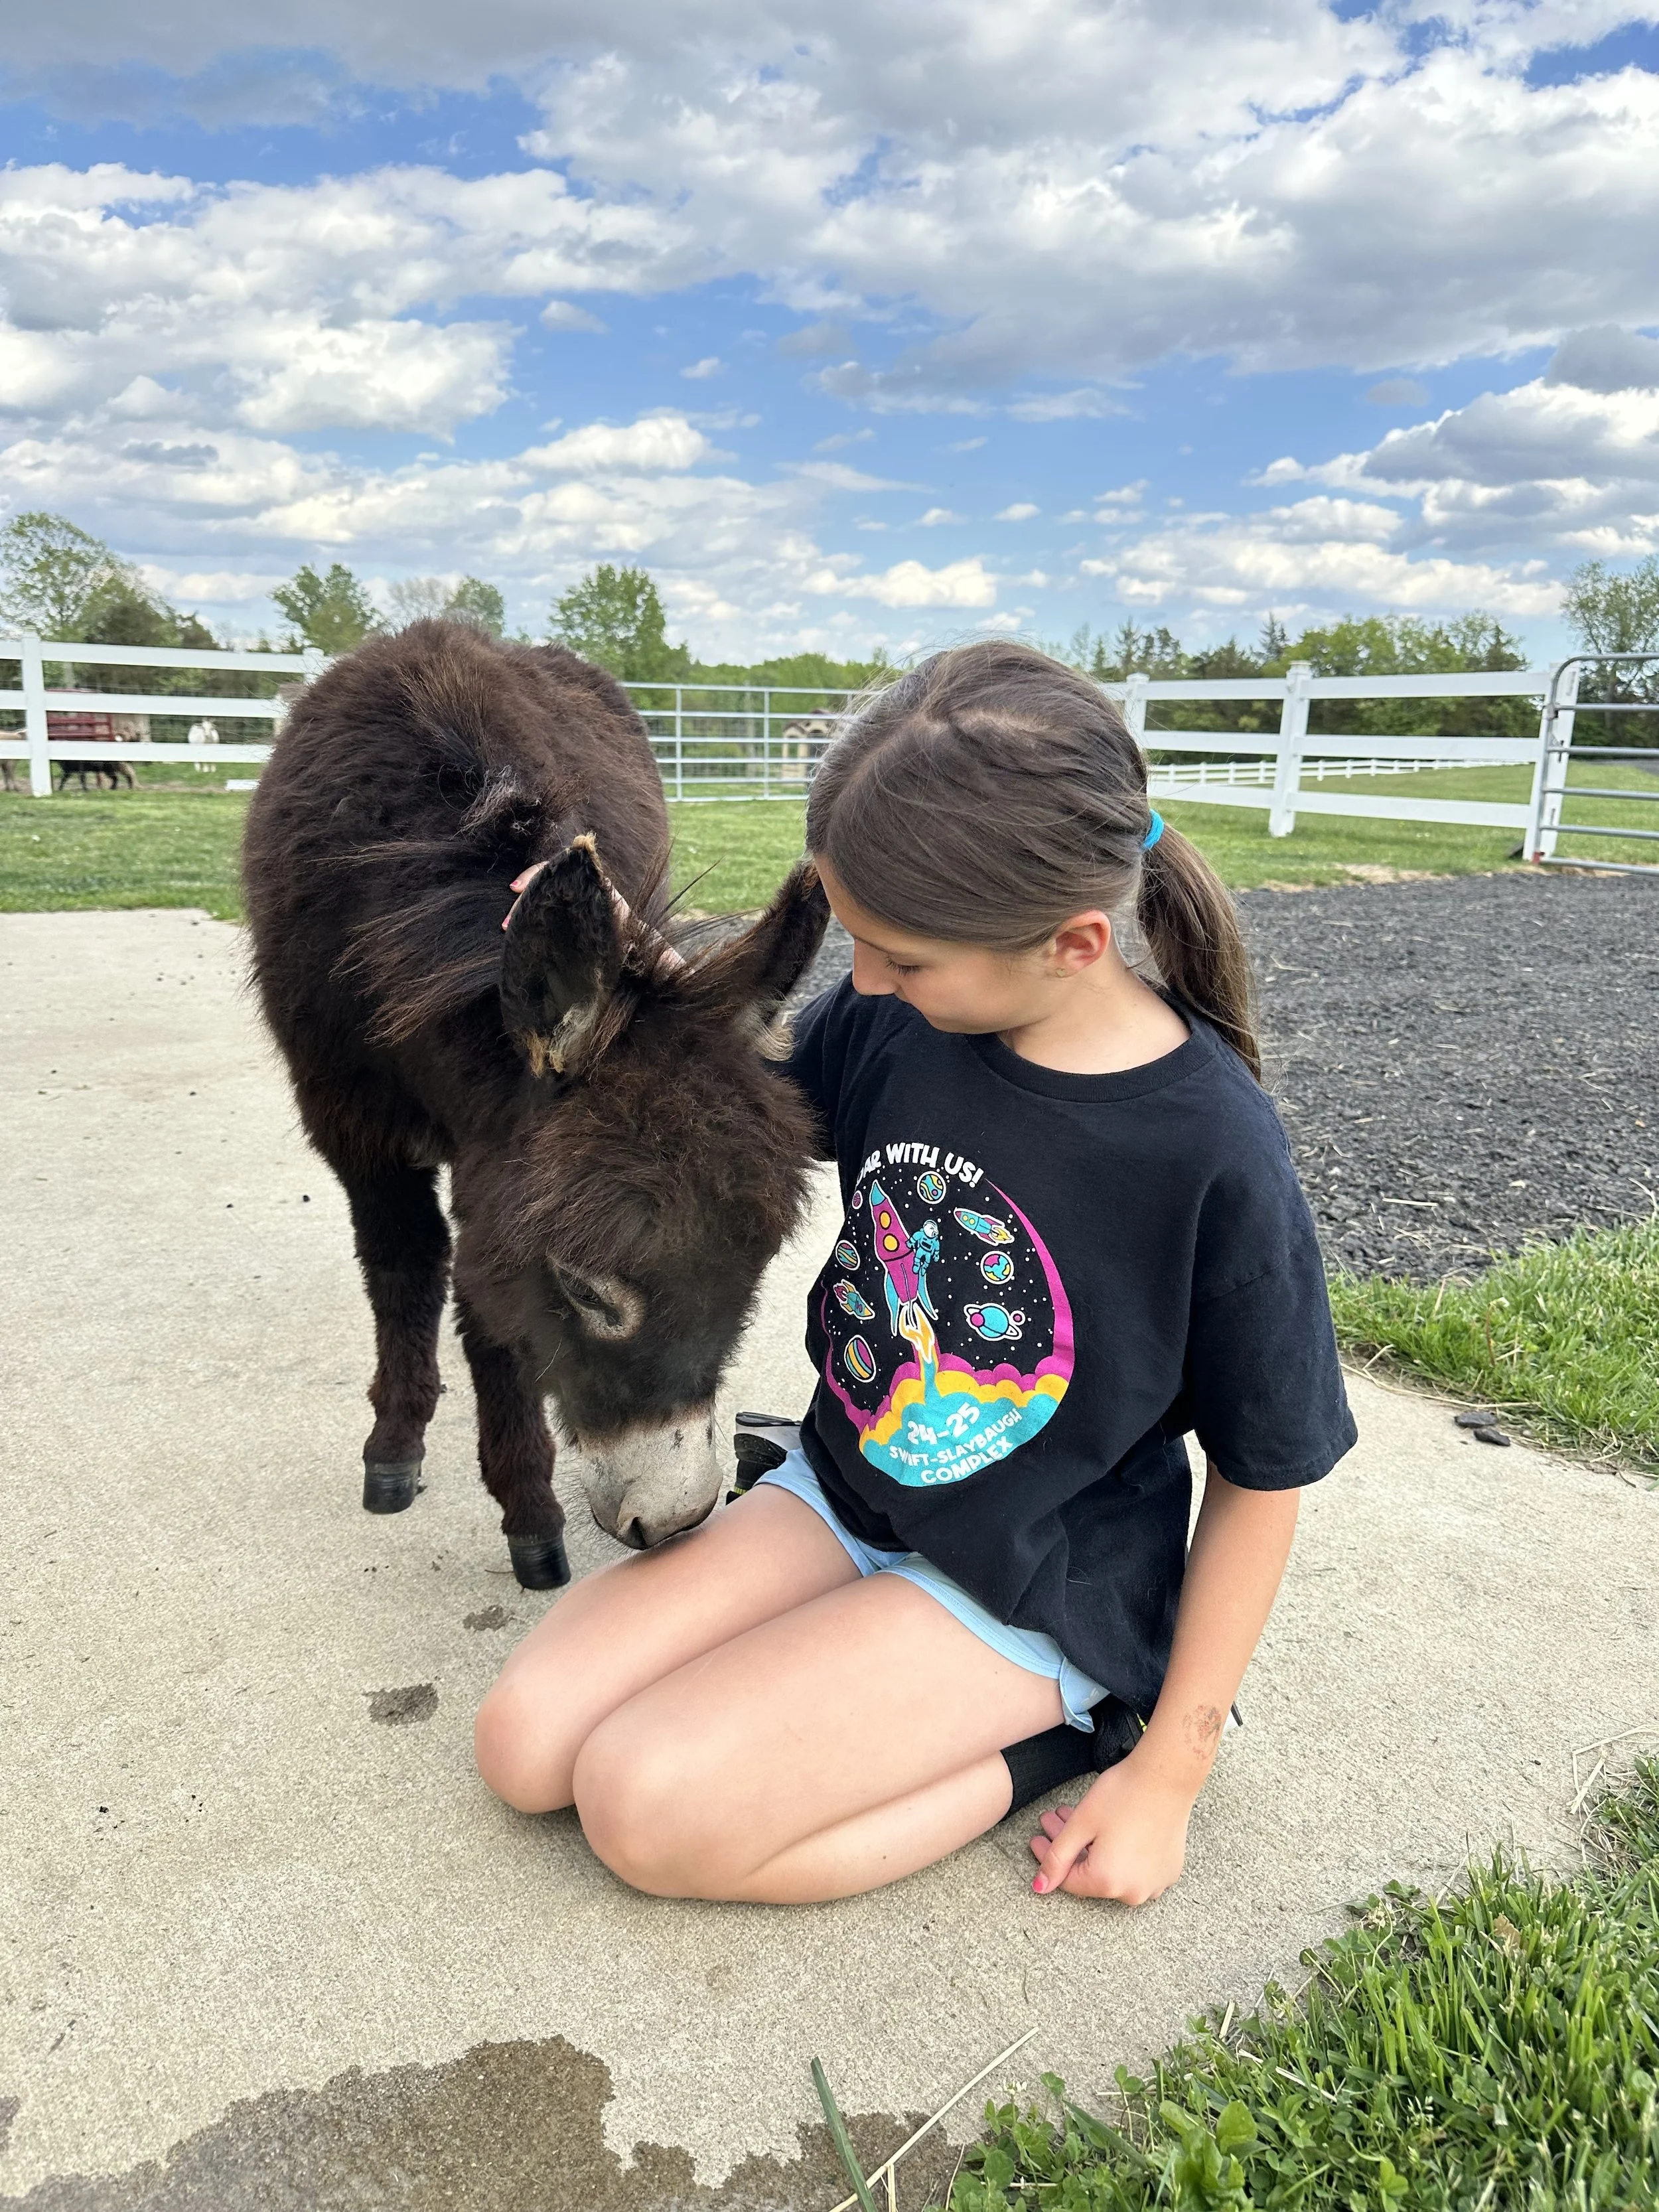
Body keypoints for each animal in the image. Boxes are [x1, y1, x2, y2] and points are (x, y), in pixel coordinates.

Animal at [242, 619, 827, 1588]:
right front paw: (396, 1448)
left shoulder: (489, 1167)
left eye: (758, 1265)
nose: (676, 1520)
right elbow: (404, 1270)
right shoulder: (351, 1121)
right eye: (585, 1290)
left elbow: (486, 1317)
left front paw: (525, 1510)